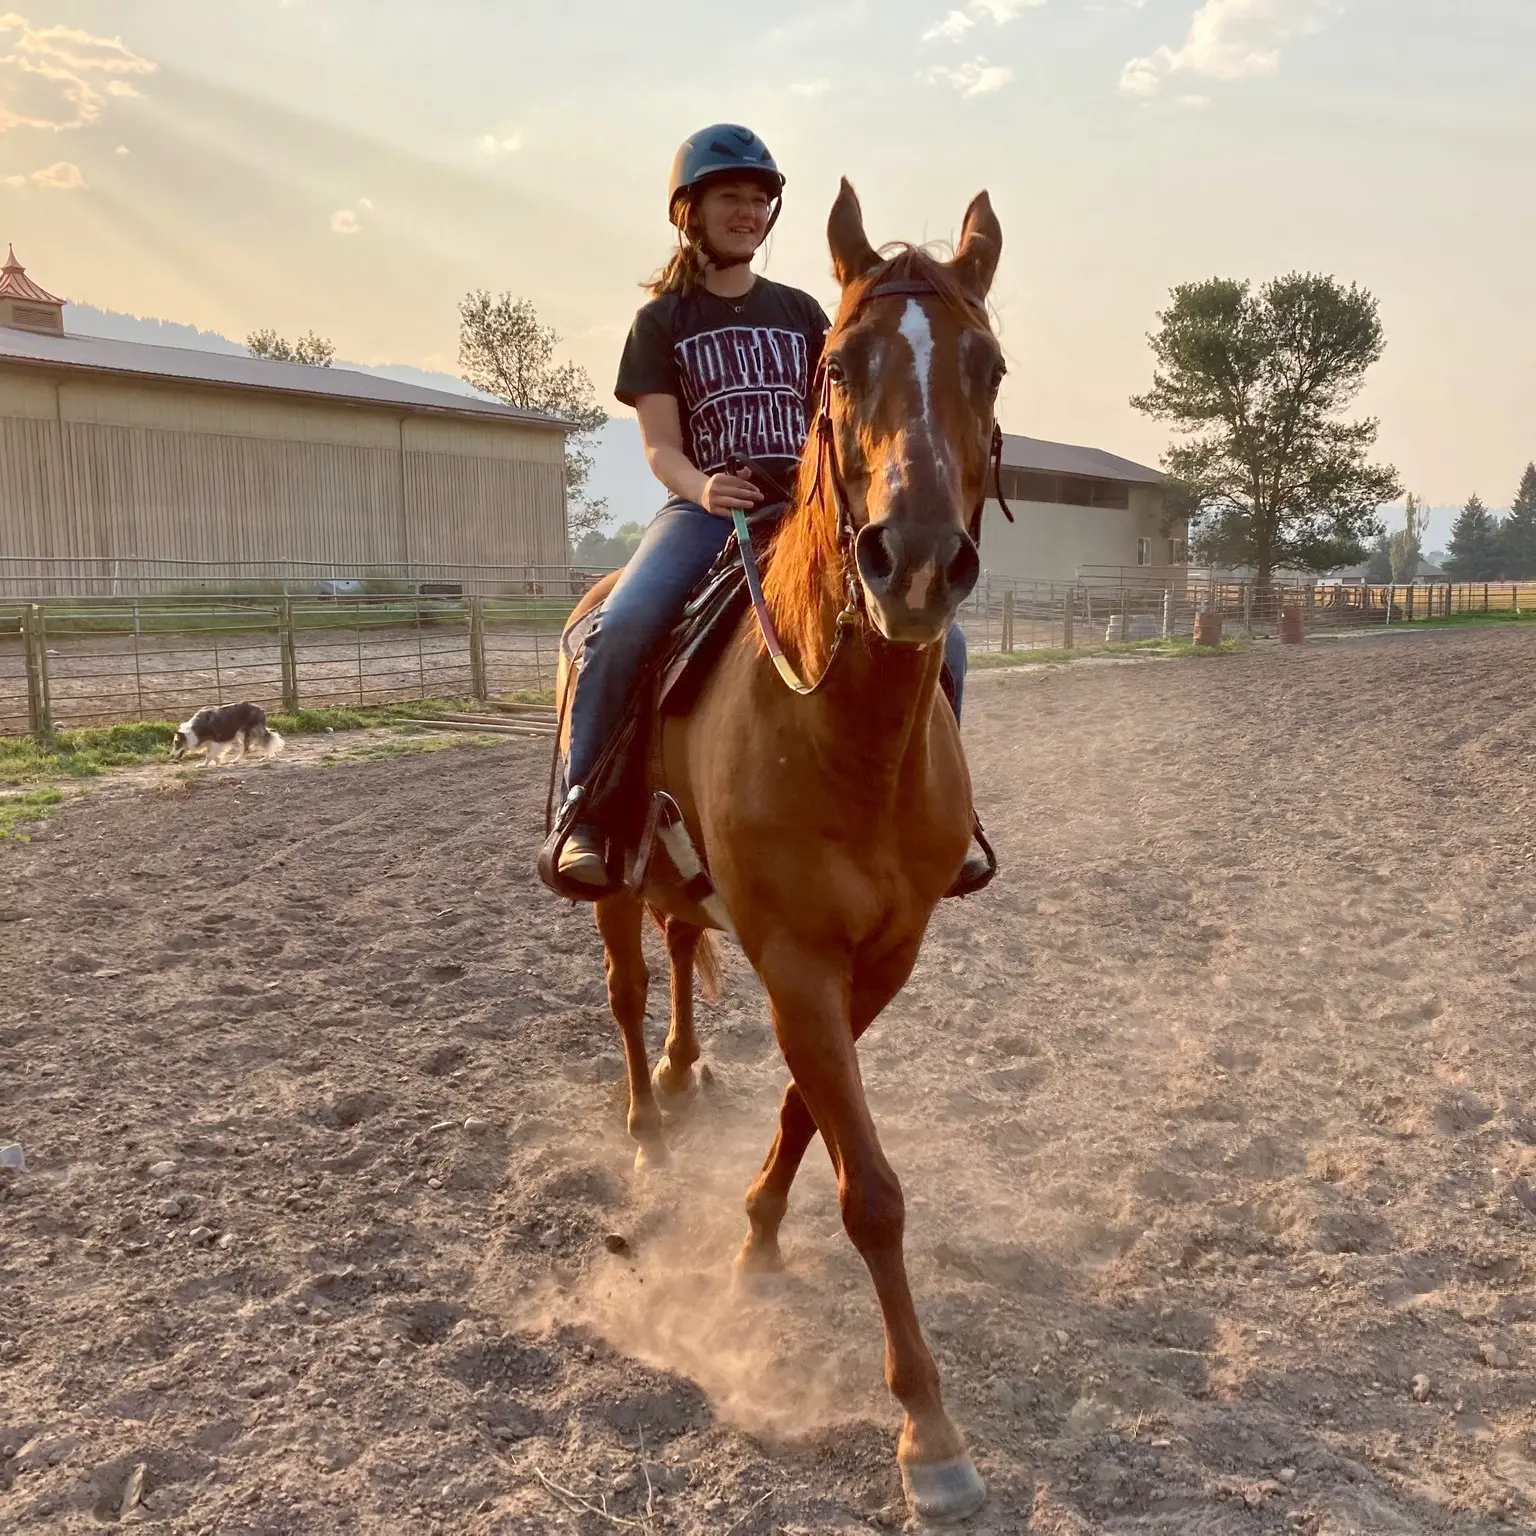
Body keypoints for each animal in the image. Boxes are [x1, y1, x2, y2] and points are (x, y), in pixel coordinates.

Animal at [554, 179, 1005, 1523]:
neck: (841, 737)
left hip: (689, 893)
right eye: (840, 366)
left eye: (990, 367)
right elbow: (870, 1185)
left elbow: (816, 1112)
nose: (916, 561)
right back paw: (648, 1122)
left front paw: (754, 1229)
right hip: (608, 882)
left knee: (676, 956)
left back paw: (689, 1074)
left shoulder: (881, 956)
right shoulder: (796, 955)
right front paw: (928, 1433)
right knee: (628, 986)